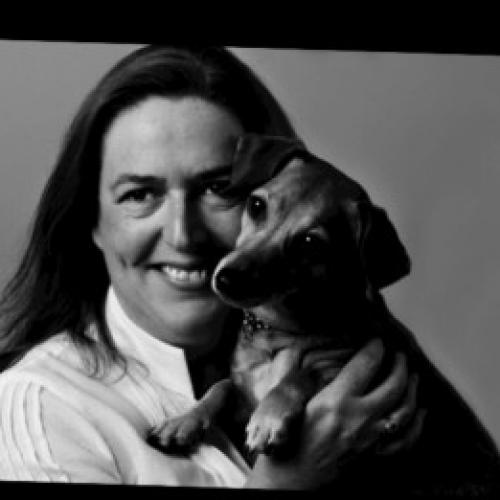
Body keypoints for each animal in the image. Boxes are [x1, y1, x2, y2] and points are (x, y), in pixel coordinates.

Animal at [154, 134, 500, 495]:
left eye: (310, 242)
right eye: (257, 205)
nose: (226, 278)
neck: (281, 329)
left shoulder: (350, 370)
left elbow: (299, 377)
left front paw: (269, 418)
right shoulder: (243, 389)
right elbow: (222, 387)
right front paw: (185, 421)